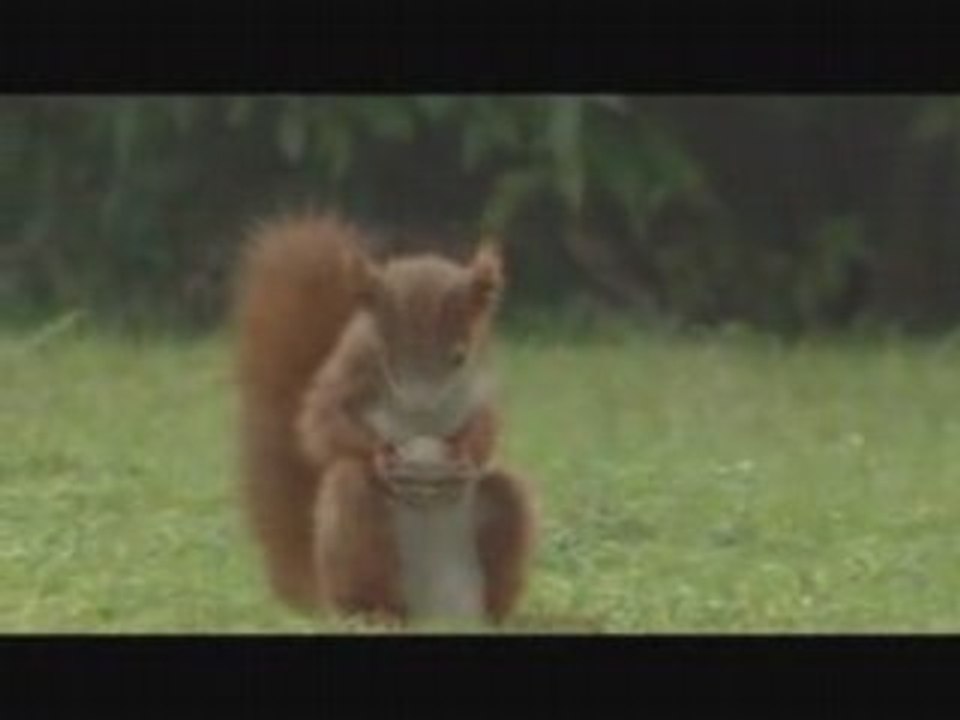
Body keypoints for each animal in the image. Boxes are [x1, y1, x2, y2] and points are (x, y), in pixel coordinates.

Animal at [233, 213, 536, 625]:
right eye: (388, 356)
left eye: (459, 357)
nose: (421, 405)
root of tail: (429, 612)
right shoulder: (352, 364)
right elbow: (319, 422)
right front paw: (381, 455)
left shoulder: (482, 380)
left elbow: (487, 425)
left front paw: (463, 454)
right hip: (357, 530)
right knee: (354, 501)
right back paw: (376, 613)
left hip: (499, 516)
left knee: (505, 502)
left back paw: (492, 618)